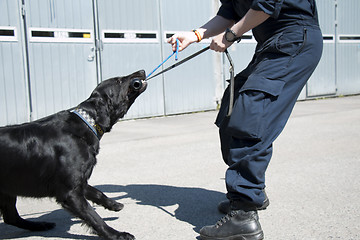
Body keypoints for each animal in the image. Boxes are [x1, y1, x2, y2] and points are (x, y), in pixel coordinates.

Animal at [0, 69, 148, 238]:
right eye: (118, 81)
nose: (142, 71)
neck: (87, 123)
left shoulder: (78, 182)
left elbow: (97, 192)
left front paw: (113, 204)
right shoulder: (69, 192)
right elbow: (93, 217)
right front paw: (115, 234)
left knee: (11, 217)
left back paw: (40, 225)